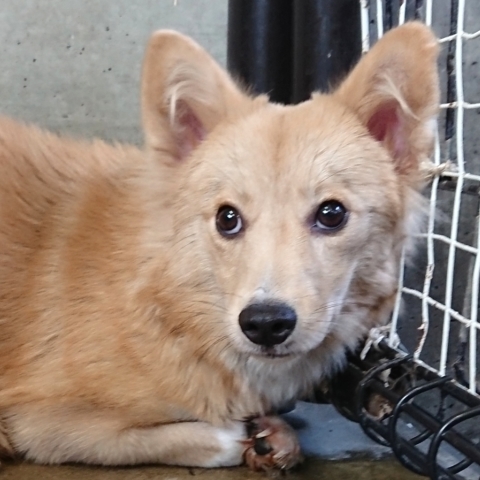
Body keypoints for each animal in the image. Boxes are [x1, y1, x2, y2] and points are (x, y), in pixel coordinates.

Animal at [0, 20, 438, 470]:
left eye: (332, 214)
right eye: (227, 218)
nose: (265, 324)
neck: (175, 308)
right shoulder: (43, 422)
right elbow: (198, 439)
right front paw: (244, 436)